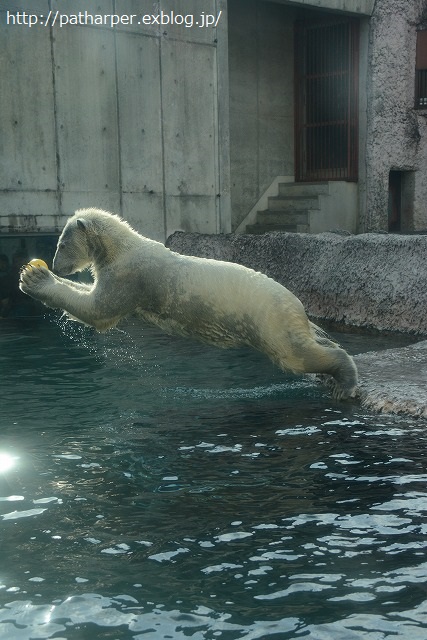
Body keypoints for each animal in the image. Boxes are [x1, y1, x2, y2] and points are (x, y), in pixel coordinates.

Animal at [21, 208, 360, 398]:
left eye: (60, 244)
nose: (56, 265)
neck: (123, 247)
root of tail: (298, 306)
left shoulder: (129, 277)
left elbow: (99, 310)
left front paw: (34, 278)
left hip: (269, 320)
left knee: (296, 354)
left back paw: (343, 381)